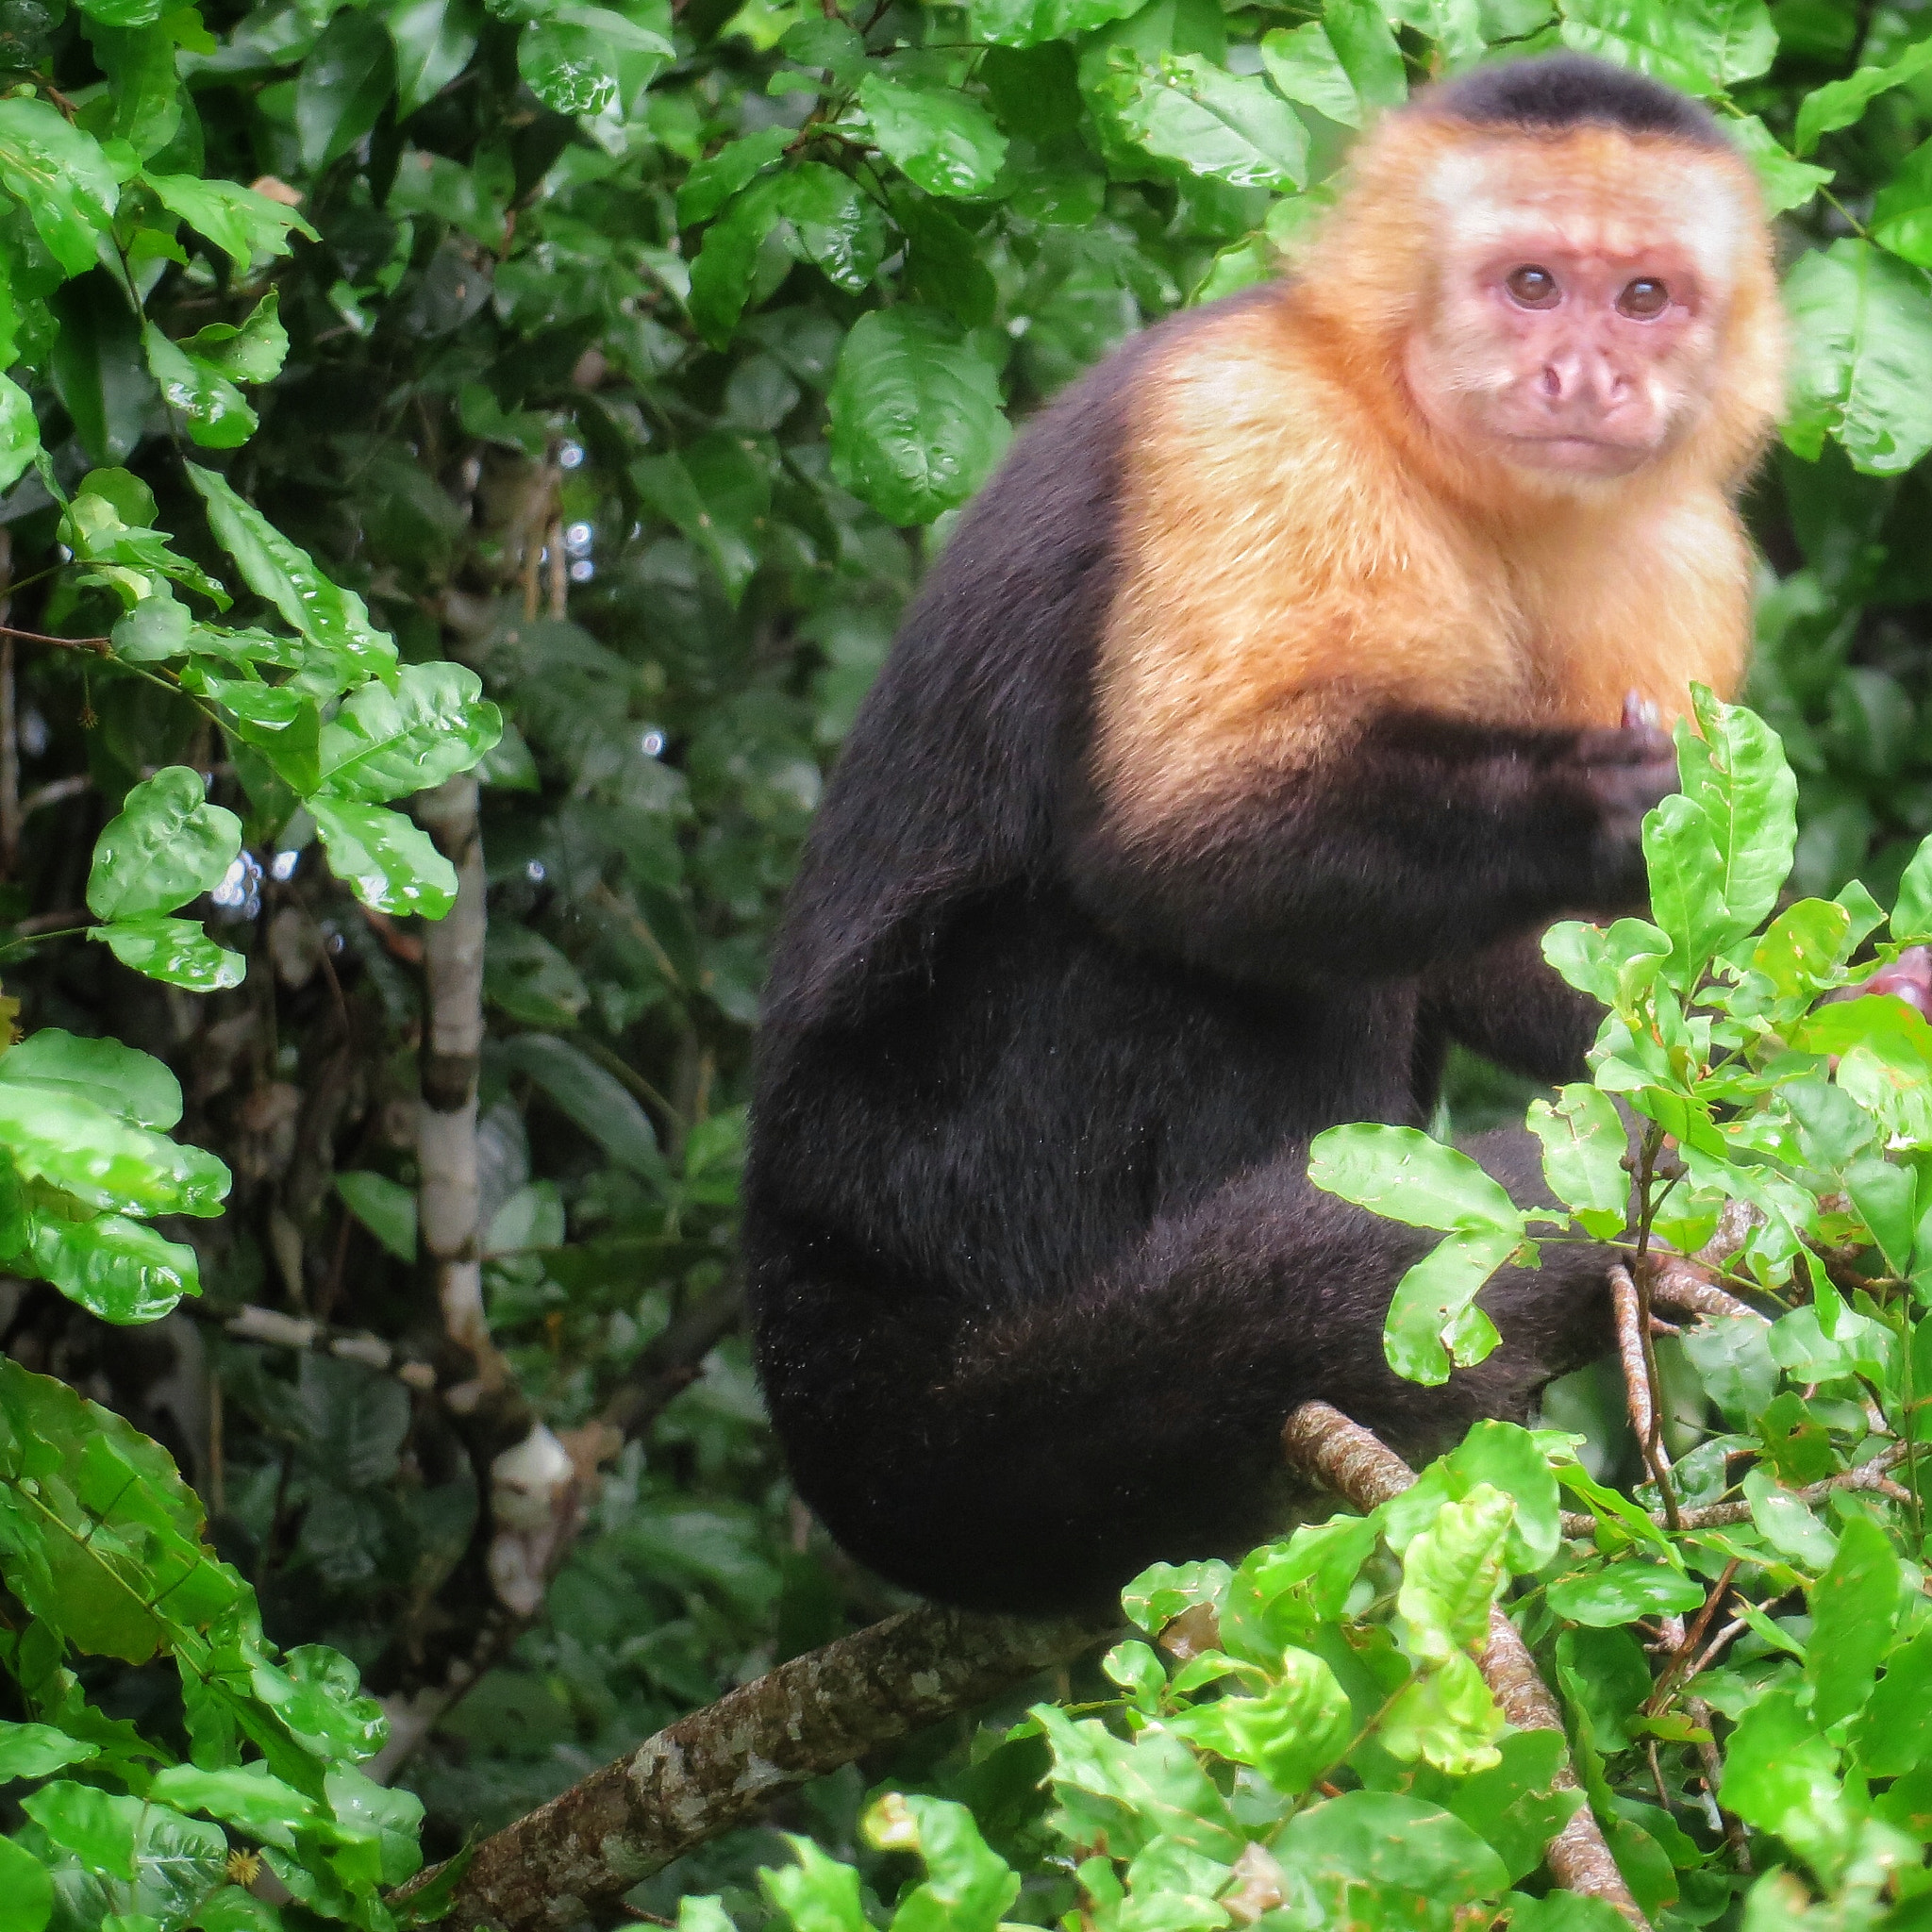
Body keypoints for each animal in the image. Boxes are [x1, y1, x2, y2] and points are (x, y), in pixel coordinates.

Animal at [743, 53, 1786, 1614]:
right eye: (1532, 284)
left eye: (1645, 296)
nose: (1588, 373)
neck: (1454, 471)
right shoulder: (1252, 426)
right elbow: (1187, 839)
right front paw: (1596, 801)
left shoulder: (1684, 553)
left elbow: (1569, 968)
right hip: (925, 1171)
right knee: (1172, 958)